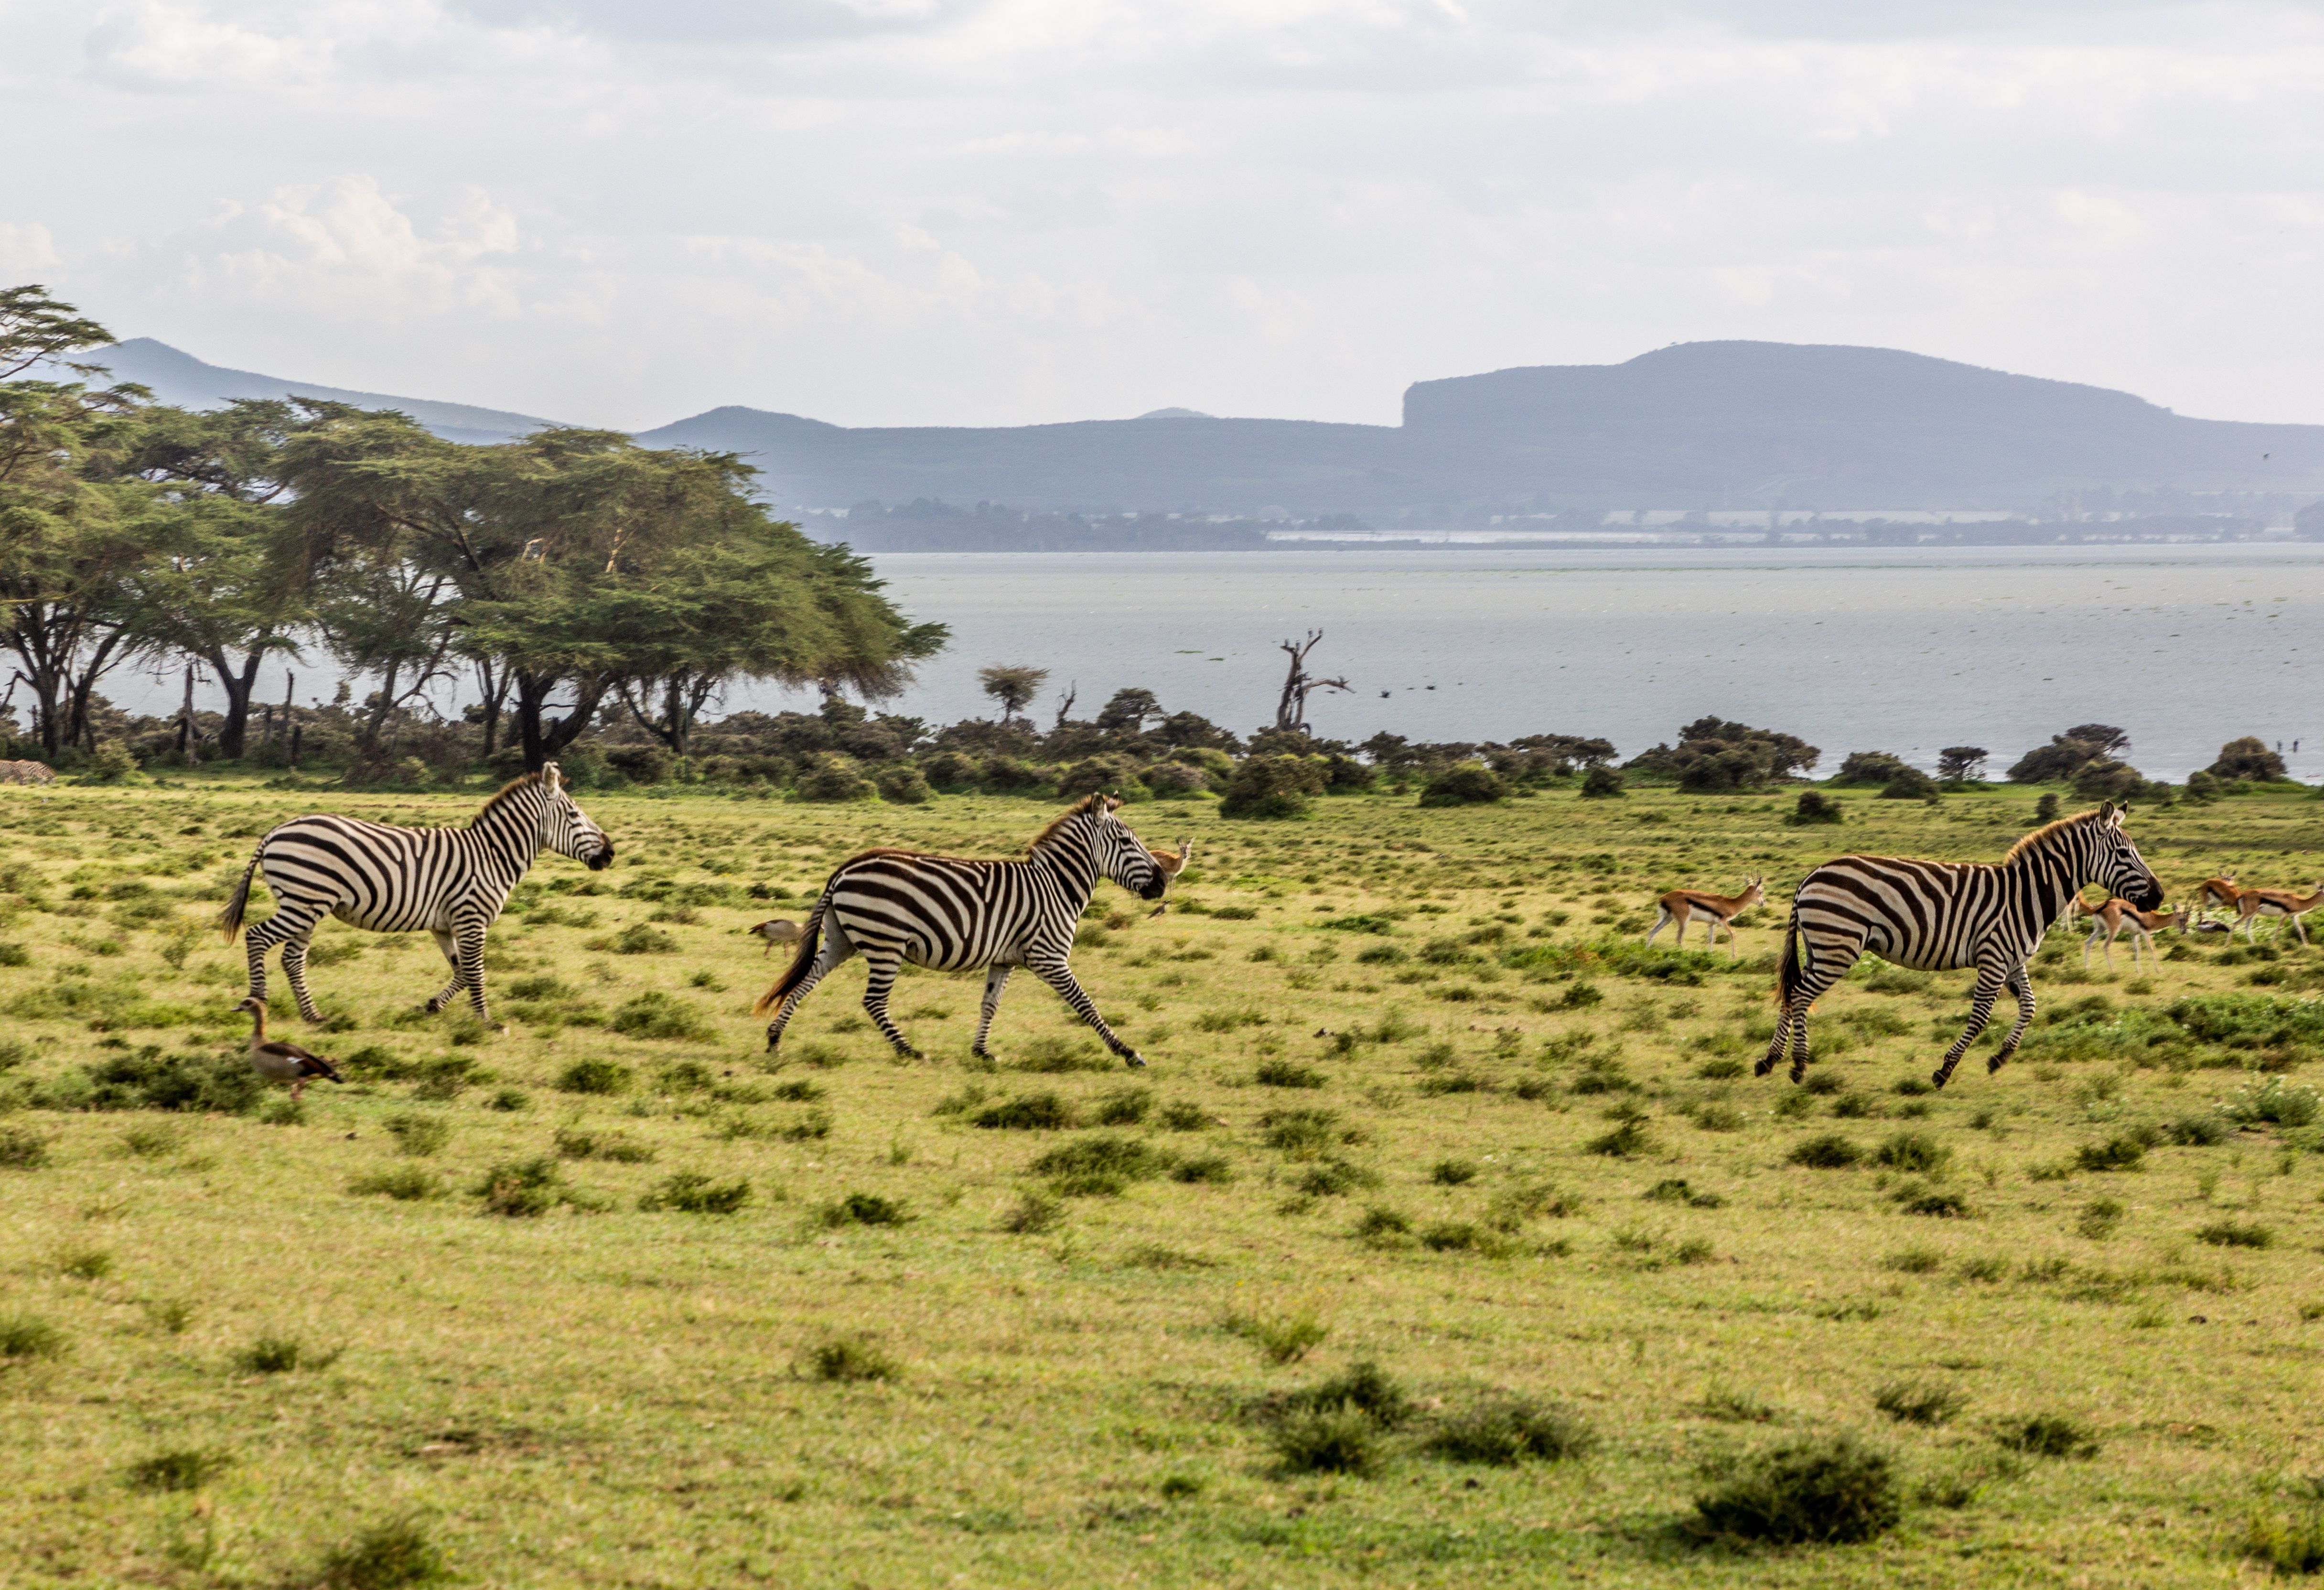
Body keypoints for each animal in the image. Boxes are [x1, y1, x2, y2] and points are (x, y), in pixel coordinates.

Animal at [218, 763, 613, 1024]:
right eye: (575, 815)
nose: (610, 853)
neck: (491, 855)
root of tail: (276, 831)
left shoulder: (445, 925)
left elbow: (462, 971)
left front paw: (434, 1006)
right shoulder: (471, 918)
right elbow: (476, 970)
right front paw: (487, 1021)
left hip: (307, 904)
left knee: (292, 958)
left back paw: (313, 1014)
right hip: (304, 901)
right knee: (257, 936)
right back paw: (259, 1000)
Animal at [752, 793, 1188, 1065]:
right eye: (1127, 841)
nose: (1161, 883)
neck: (1057, 885)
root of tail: (846, 867)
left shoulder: (1005, 959)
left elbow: (989, 1004)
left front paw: (982, 1051)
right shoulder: (1049, 957)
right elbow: (1086, 1003)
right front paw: (1128, 1052)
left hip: (842, 939)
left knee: (804, 982)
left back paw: (774, 1039)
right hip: (886, 942)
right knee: (873, 1001)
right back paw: (910, 1051)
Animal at [1760, 802, 2162, 1089]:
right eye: (2125, 854)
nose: (2158, 896)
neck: (2025, 895)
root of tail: (1810, 876)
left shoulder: (2013, 960)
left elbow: (2030, 1007)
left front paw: (2000, 1058)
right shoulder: (1993, 957)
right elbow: (1981, 1017)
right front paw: (1945, 1070)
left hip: (1820, 947)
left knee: (1793, 992)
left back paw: (1770, 1060)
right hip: (1838, 947)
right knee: (1801, 995)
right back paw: (1797, 1065)